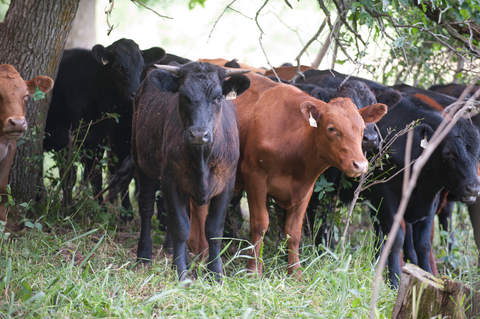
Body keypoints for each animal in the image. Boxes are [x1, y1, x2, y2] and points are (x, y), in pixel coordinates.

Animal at [44, 38, 166, 211]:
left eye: (141, 67)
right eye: (117, 66)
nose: (135, 93)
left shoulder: (98, 141)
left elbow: (96, 177)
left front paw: (100, 209)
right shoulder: (63, 140)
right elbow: (69, 178)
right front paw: (67, 208)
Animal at [101, 62, 251, 280]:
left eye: (217, 98)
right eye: (183, 96)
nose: (199, 134)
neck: (202, 157)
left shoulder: (227, 184)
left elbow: (214, 230)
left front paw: (215, 273)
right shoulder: (171, 181)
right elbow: (181, 226)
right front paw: (180, 272)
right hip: (142, 162)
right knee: (147, 208)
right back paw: (144, 256)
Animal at [189, 71, 388, 276]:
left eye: (362, 129)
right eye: (332, 128)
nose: (360, 164)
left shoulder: (306, 187)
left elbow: (294, 231)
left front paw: (296, 272)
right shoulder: (255, 177)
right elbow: (260, 224)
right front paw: (254, 269)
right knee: (198, 209)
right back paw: (199, 251)